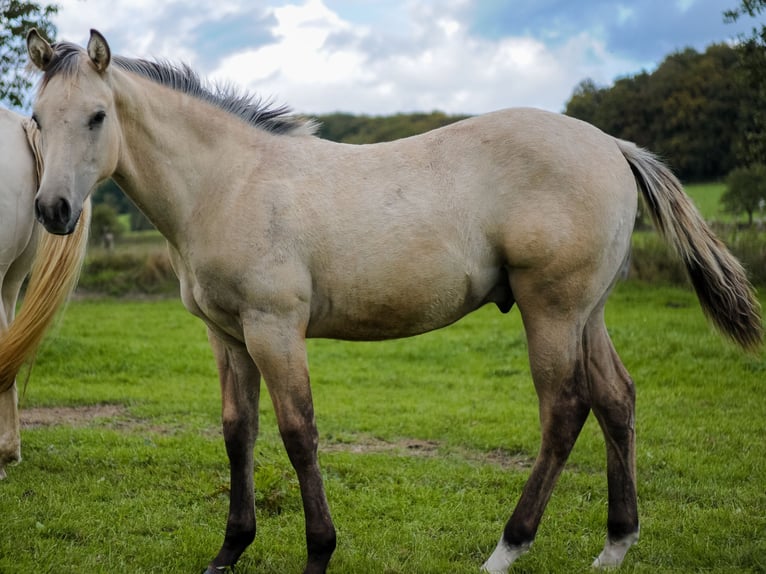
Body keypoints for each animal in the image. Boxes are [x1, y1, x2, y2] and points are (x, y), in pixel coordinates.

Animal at [25, 28, 761, 573]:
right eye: (35, 119)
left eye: (97, 116)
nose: (53, 211)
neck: (230, 182)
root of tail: (611, 143)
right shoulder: (228, 335)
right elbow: (239, 433)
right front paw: (229, 550)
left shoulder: (274, 328)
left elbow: (298, 432)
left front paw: (318, 553)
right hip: (588, 313)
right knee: (616, 399)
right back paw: (614, 545)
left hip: (551, 311)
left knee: (565, 409)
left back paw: (507, 548)